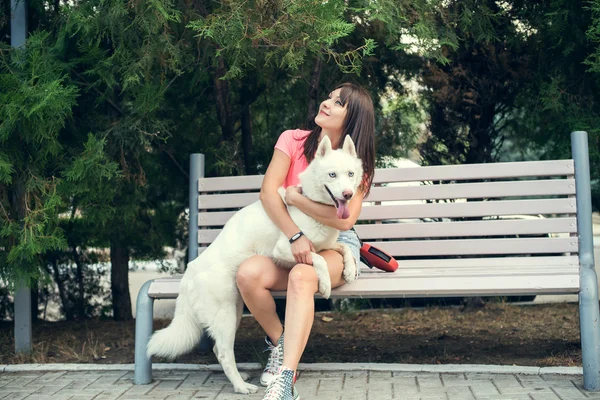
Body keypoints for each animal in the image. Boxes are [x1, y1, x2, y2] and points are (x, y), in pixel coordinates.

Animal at [146, 135, 360, 394]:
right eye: (332, 175)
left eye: (350, 174)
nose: (348, 195)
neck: (309, 203)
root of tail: (189, 273)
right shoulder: (287, 248)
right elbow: (318, 258)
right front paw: (326, 284)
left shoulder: (323, 245)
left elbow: (343, 248)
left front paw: (349, 270)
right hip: (226, 315)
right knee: (224, 352)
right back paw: (241, 386)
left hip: (235, 310)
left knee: (218, 348)